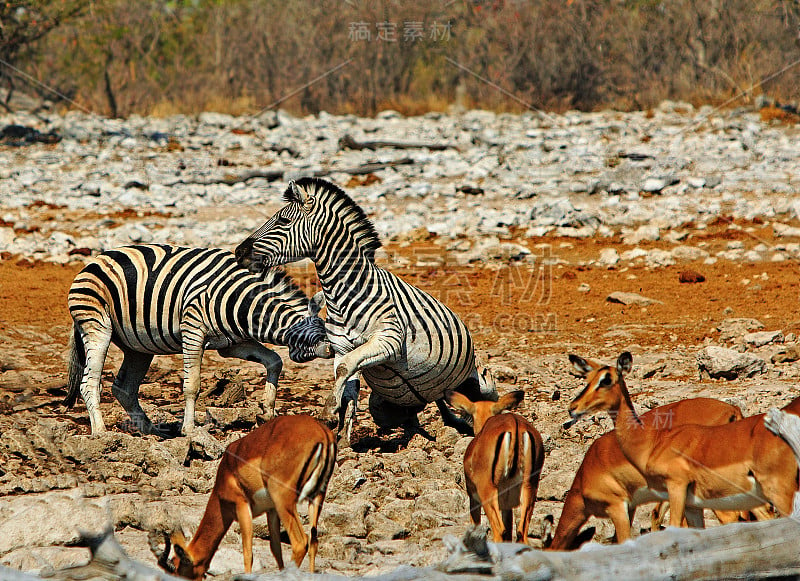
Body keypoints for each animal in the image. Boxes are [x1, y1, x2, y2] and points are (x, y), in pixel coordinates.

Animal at [64, 241, 334, 436]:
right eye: (316, 335)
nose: (332, 349)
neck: (242, 301)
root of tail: (96, 260)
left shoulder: (232, 344)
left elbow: (274, 361)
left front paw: (267, 411)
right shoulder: (193, 330)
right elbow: (192, 384)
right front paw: (190, 429)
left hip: (138, 345)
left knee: (124, 389)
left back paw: (153, 431)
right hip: (97, 326)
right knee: (89, 383)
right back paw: (101, 433)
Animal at [234, 174, 496, 442]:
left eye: (283, 221)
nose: (239, 252)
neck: (342, 293)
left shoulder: (388, 340)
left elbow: (345, 369)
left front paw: (328, 413)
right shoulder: (341, 348)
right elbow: (347, 382)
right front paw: (343, 438)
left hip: (481, 381)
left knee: (486, 403)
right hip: (387, 405)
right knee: (420, 417)